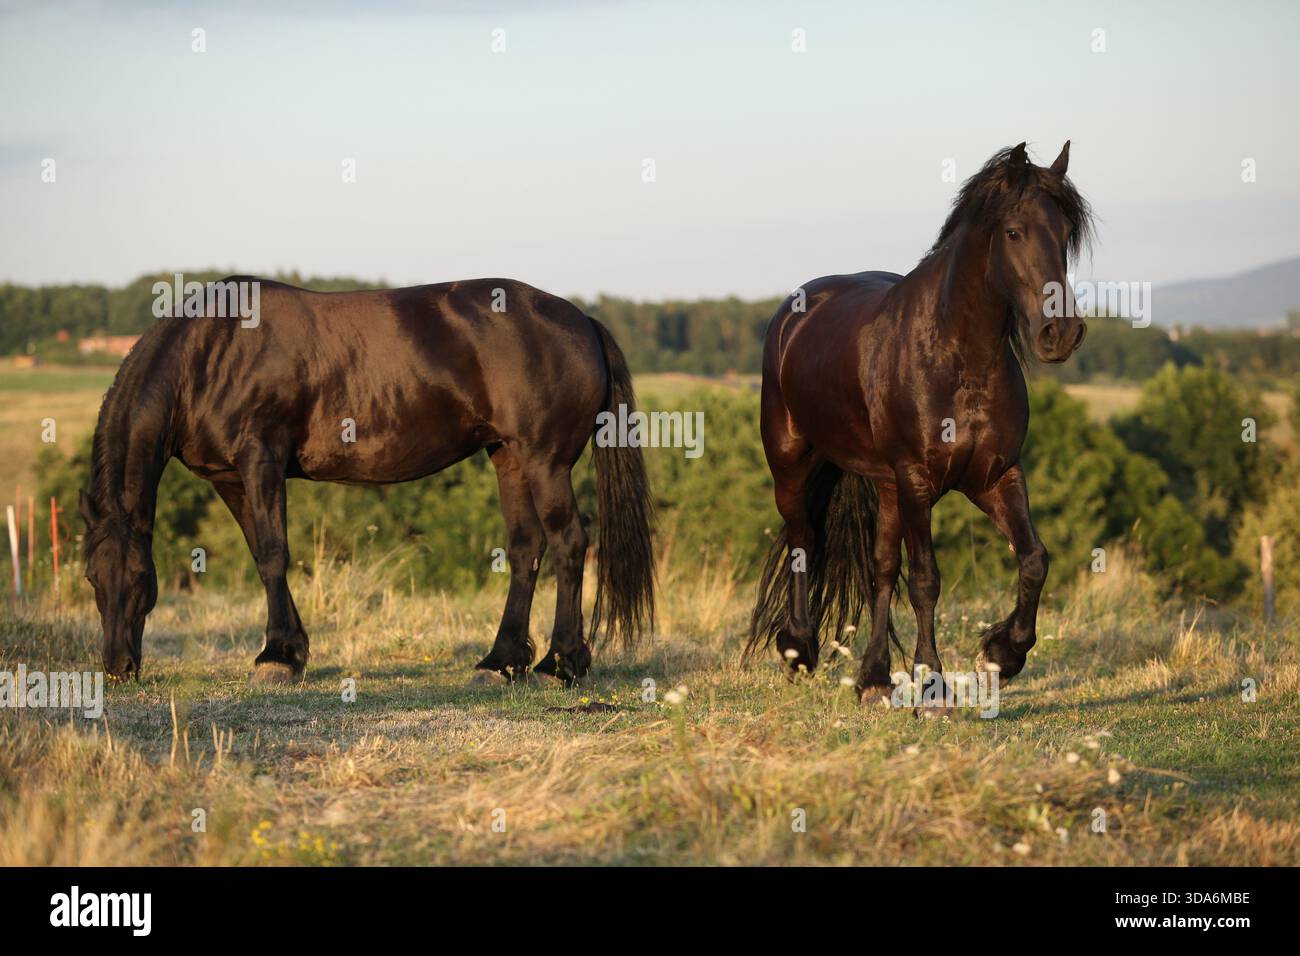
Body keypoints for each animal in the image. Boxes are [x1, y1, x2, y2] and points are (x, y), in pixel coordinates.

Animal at [79, 277, 655, 685]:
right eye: (91, 578)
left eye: (139, 578)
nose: (118, 667)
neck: (210, 353)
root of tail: (581, 319)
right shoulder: (230, 477)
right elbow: (261, 553)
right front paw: (292, 650)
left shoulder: (261, 458)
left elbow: (273, 553)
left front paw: (276, 656)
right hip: (509, 457)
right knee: (525, 550)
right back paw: (500, 661)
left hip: (545, 462)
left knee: (569, 543)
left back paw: (561, 663)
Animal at [747, 142, 1094, 706]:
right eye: (1014, 231)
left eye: (1065, 233)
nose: (1059, 333)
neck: (957, 358)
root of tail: (795, 311)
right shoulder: (917, 480)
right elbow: (926, 579)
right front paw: (931, 681)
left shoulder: (995, 475)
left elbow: (1033, 558)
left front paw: (1001, 654)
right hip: (793, 463)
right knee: (803, 541)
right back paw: (799, 648)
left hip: (888, 487)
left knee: (880, 568)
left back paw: (873, 677)